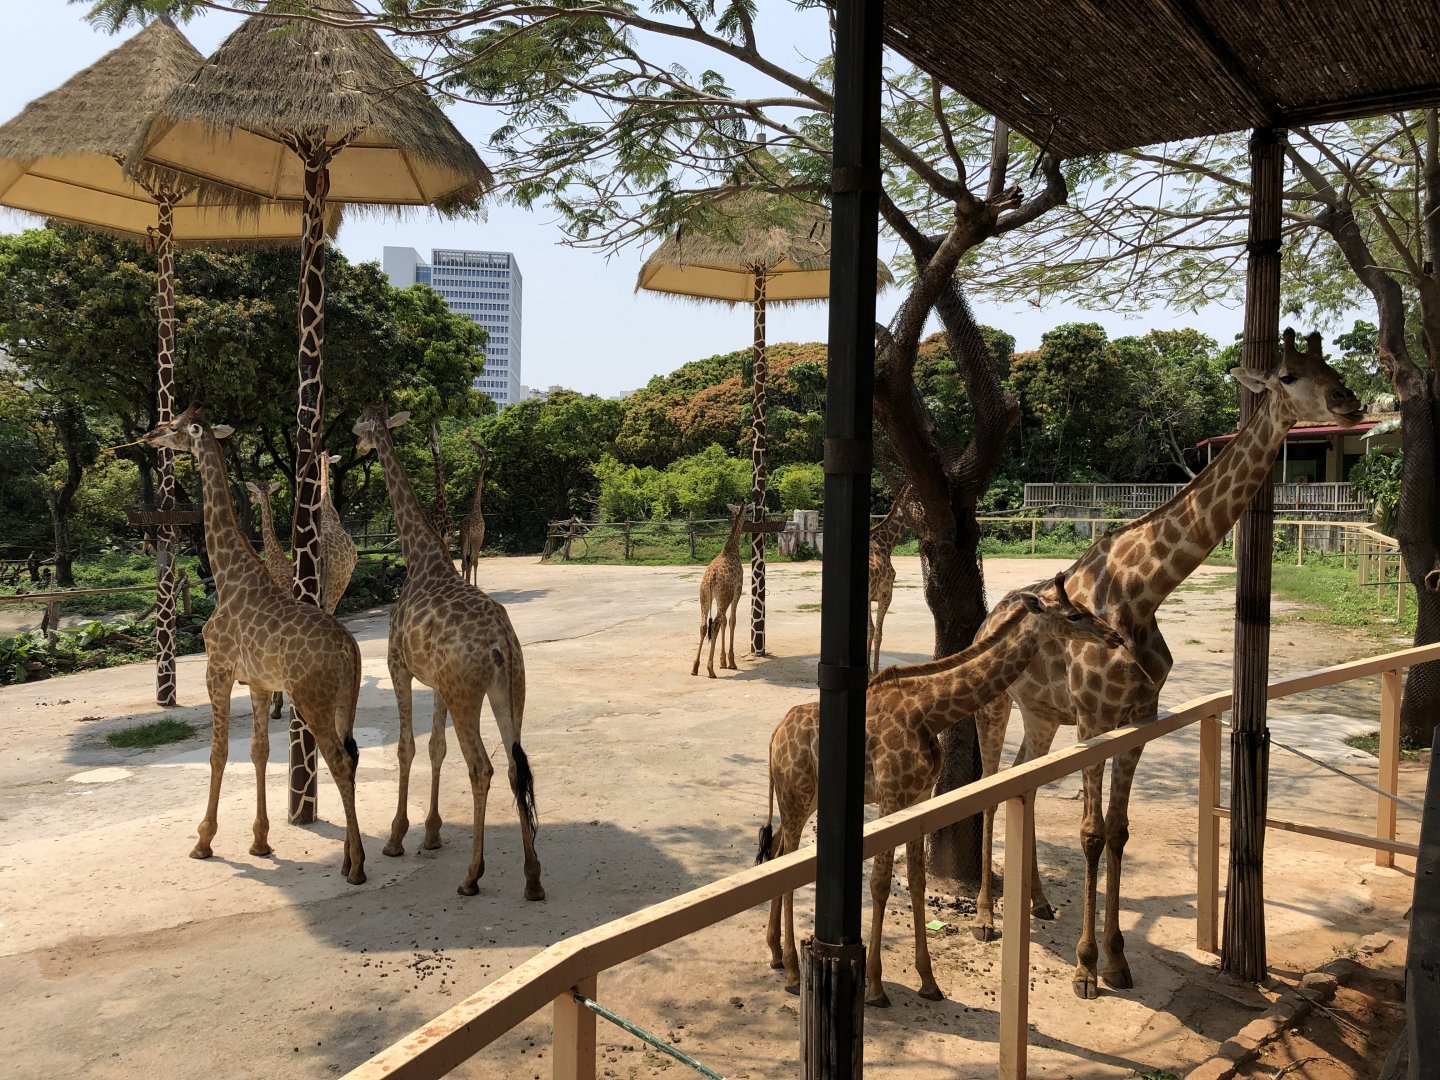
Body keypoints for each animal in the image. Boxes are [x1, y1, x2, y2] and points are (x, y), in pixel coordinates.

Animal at [139, 405, 366, 883]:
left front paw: (203, 840)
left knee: (339, 761)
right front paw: (260, 841)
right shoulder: (260, 683)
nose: (151, 434)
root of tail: (351, 650)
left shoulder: (218, 668)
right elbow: (259, 752)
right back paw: (347, 858)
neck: (228, 577)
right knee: (351, 759)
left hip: (313, 699)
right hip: (342, 702)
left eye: (176, 427)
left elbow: (219, 752)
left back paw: (356, 865)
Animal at [353, 403, 544, 900]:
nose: (356, 447)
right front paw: (432, 832)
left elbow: (407, 747)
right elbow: (435, 748)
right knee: (515, 766)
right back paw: (532, 878)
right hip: (510, 692)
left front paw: (398, 837)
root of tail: (501, 644)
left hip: (466, 696)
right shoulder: (436, 682)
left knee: (482, 768)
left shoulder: (398, 665)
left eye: (362, 427)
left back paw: (472, 877)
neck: (420, 558)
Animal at [691, 503, 747, 678]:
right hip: (724, 596)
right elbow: (732, 621)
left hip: (705, 597)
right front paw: (730, 662)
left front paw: (723, 661)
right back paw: (710, 669)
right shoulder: (737, 590)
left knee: (704, 626)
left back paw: (695, 667)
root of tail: (712, 578)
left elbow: (724, 621)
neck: (732, 548)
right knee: (714, 624)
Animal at [756, 573, 1126, 1006]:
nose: (1114, 636)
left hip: (800, 797)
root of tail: (774, 738)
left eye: (1084, 609)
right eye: (1074, 615)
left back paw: (776, 954)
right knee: (784, 858)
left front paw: (928, 981)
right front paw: (876, 987)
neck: (928, 712)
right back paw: (794, 971)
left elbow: (916, 879)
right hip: (796, 797)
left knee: (775, 849)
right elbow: (880, 882)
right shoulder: (891, 796)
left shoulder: (916, 797)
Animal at [970, 329, 1363, 997]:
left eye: (1330, 365)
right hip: (996, 706)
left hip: (1042, 714)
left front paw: (1118, 962)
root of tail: (987, 619)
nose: (1348, 401)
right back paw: (987, 921)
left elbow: (1118, 831)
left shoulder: (1138, 721)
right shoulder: (1096, 720)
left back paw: (1039, 904)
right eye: (1288, 374)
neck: (1142, 592)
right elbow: (1090, 833)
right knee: (991, 789)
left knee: (1025, 778)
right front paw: (1084, 969)